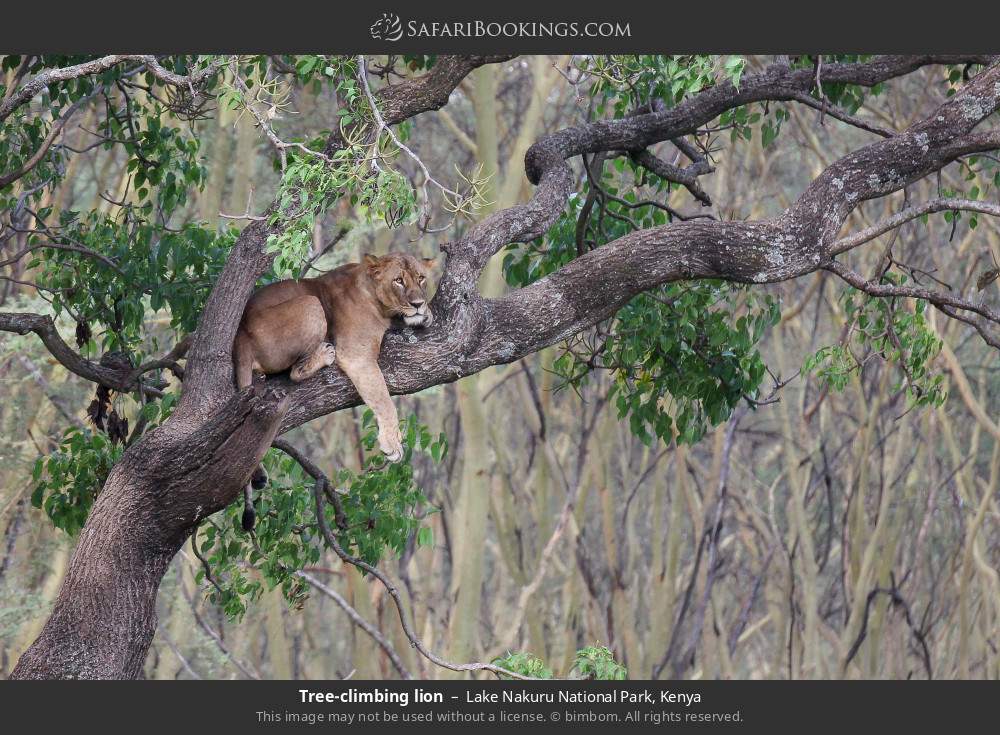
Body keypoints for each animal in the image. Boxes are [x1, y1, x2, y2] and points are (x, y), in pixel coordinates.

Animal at [234, 253, 438, 528]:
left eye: (421, 278)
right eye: (398, 280)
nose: (417, 303)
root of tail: (240, 334)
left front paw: (425, 314)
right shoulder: (356, 355)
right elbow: (383, 400)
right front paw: (392, 444)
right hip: (310, 304)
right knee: (295, 372)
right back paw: (324, 354)